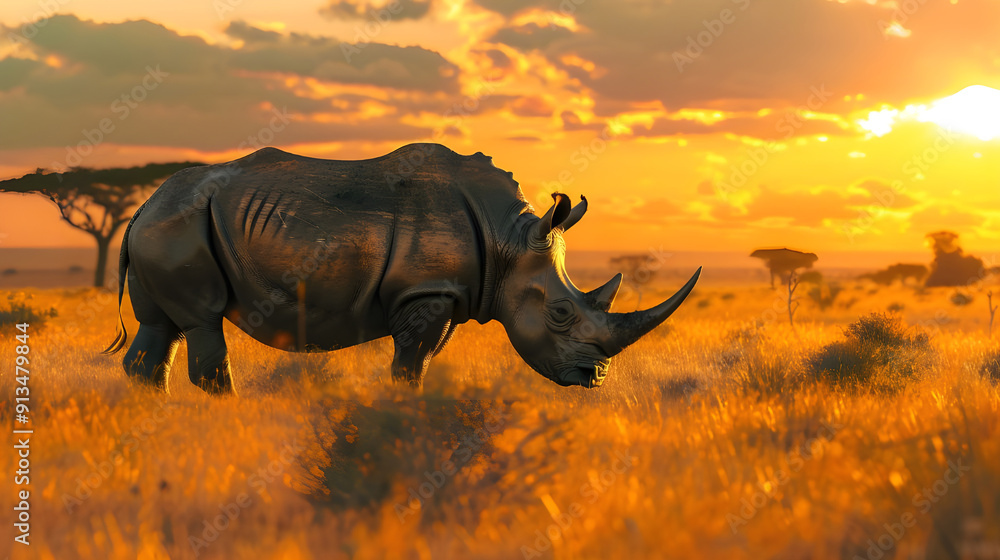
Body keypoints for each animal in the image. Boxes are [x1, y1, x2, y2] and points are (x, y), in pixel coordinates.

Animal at [104, 143, 701, 394]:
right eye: (559, 314)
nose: (595, 378)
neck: (507, 241)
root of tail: (139, 208)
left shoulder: (449, 296)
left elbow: (423, 362)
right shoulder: (425, 292)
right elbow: (411, 364)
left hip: (169, 226)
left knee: (161, 330)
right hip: (176, 227)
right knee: (201, 322)